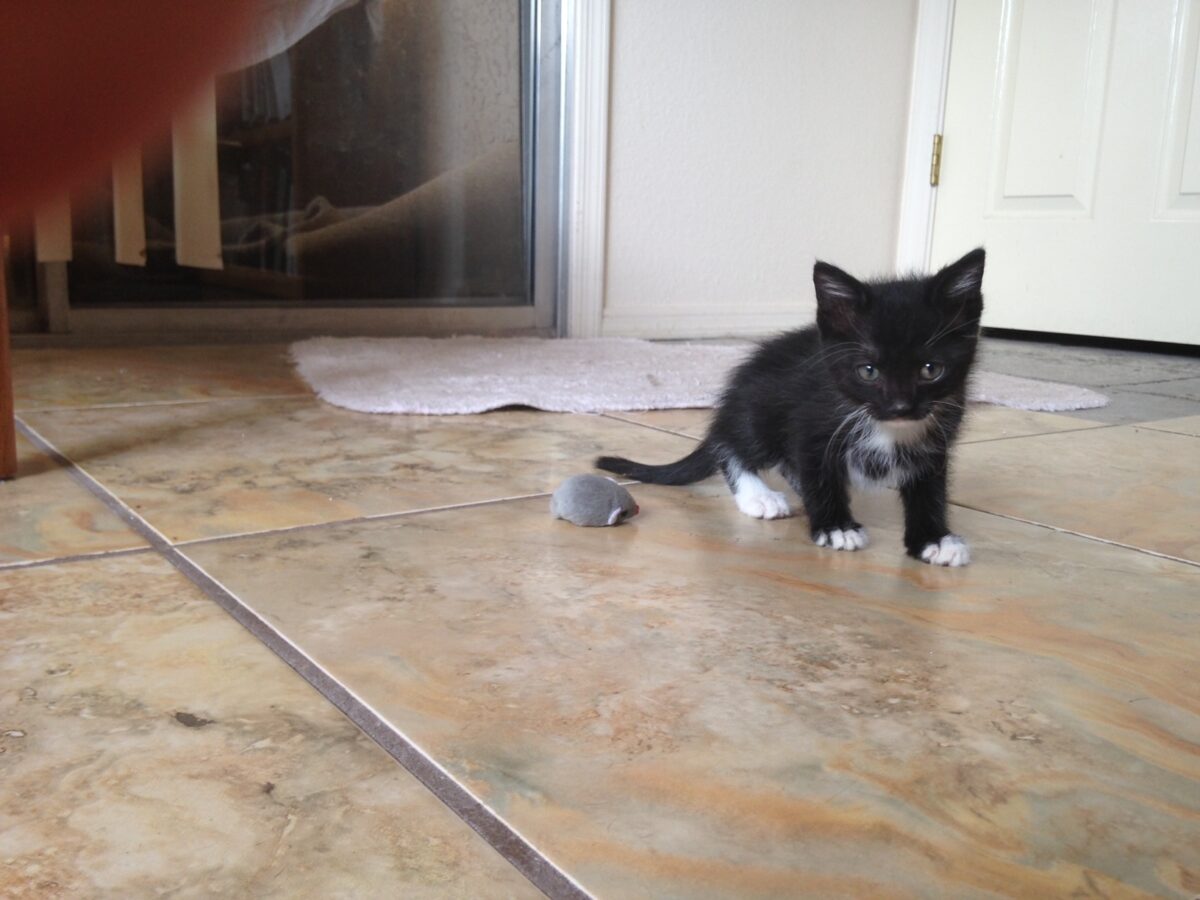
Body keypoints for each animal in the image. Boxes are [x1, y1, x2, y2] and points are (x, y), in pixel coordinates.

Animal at [597, 250, 984, 566]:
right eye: (868, 371)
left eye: (931, 369)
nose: (901, 406)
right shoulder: (809, 421)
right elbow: (819, 471)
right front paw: (836, 526)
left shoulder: (937, 436)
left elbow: (929, 488)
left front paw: (933, 539)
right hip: (758, 408)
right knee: (731, 444)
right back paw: (758, 495)